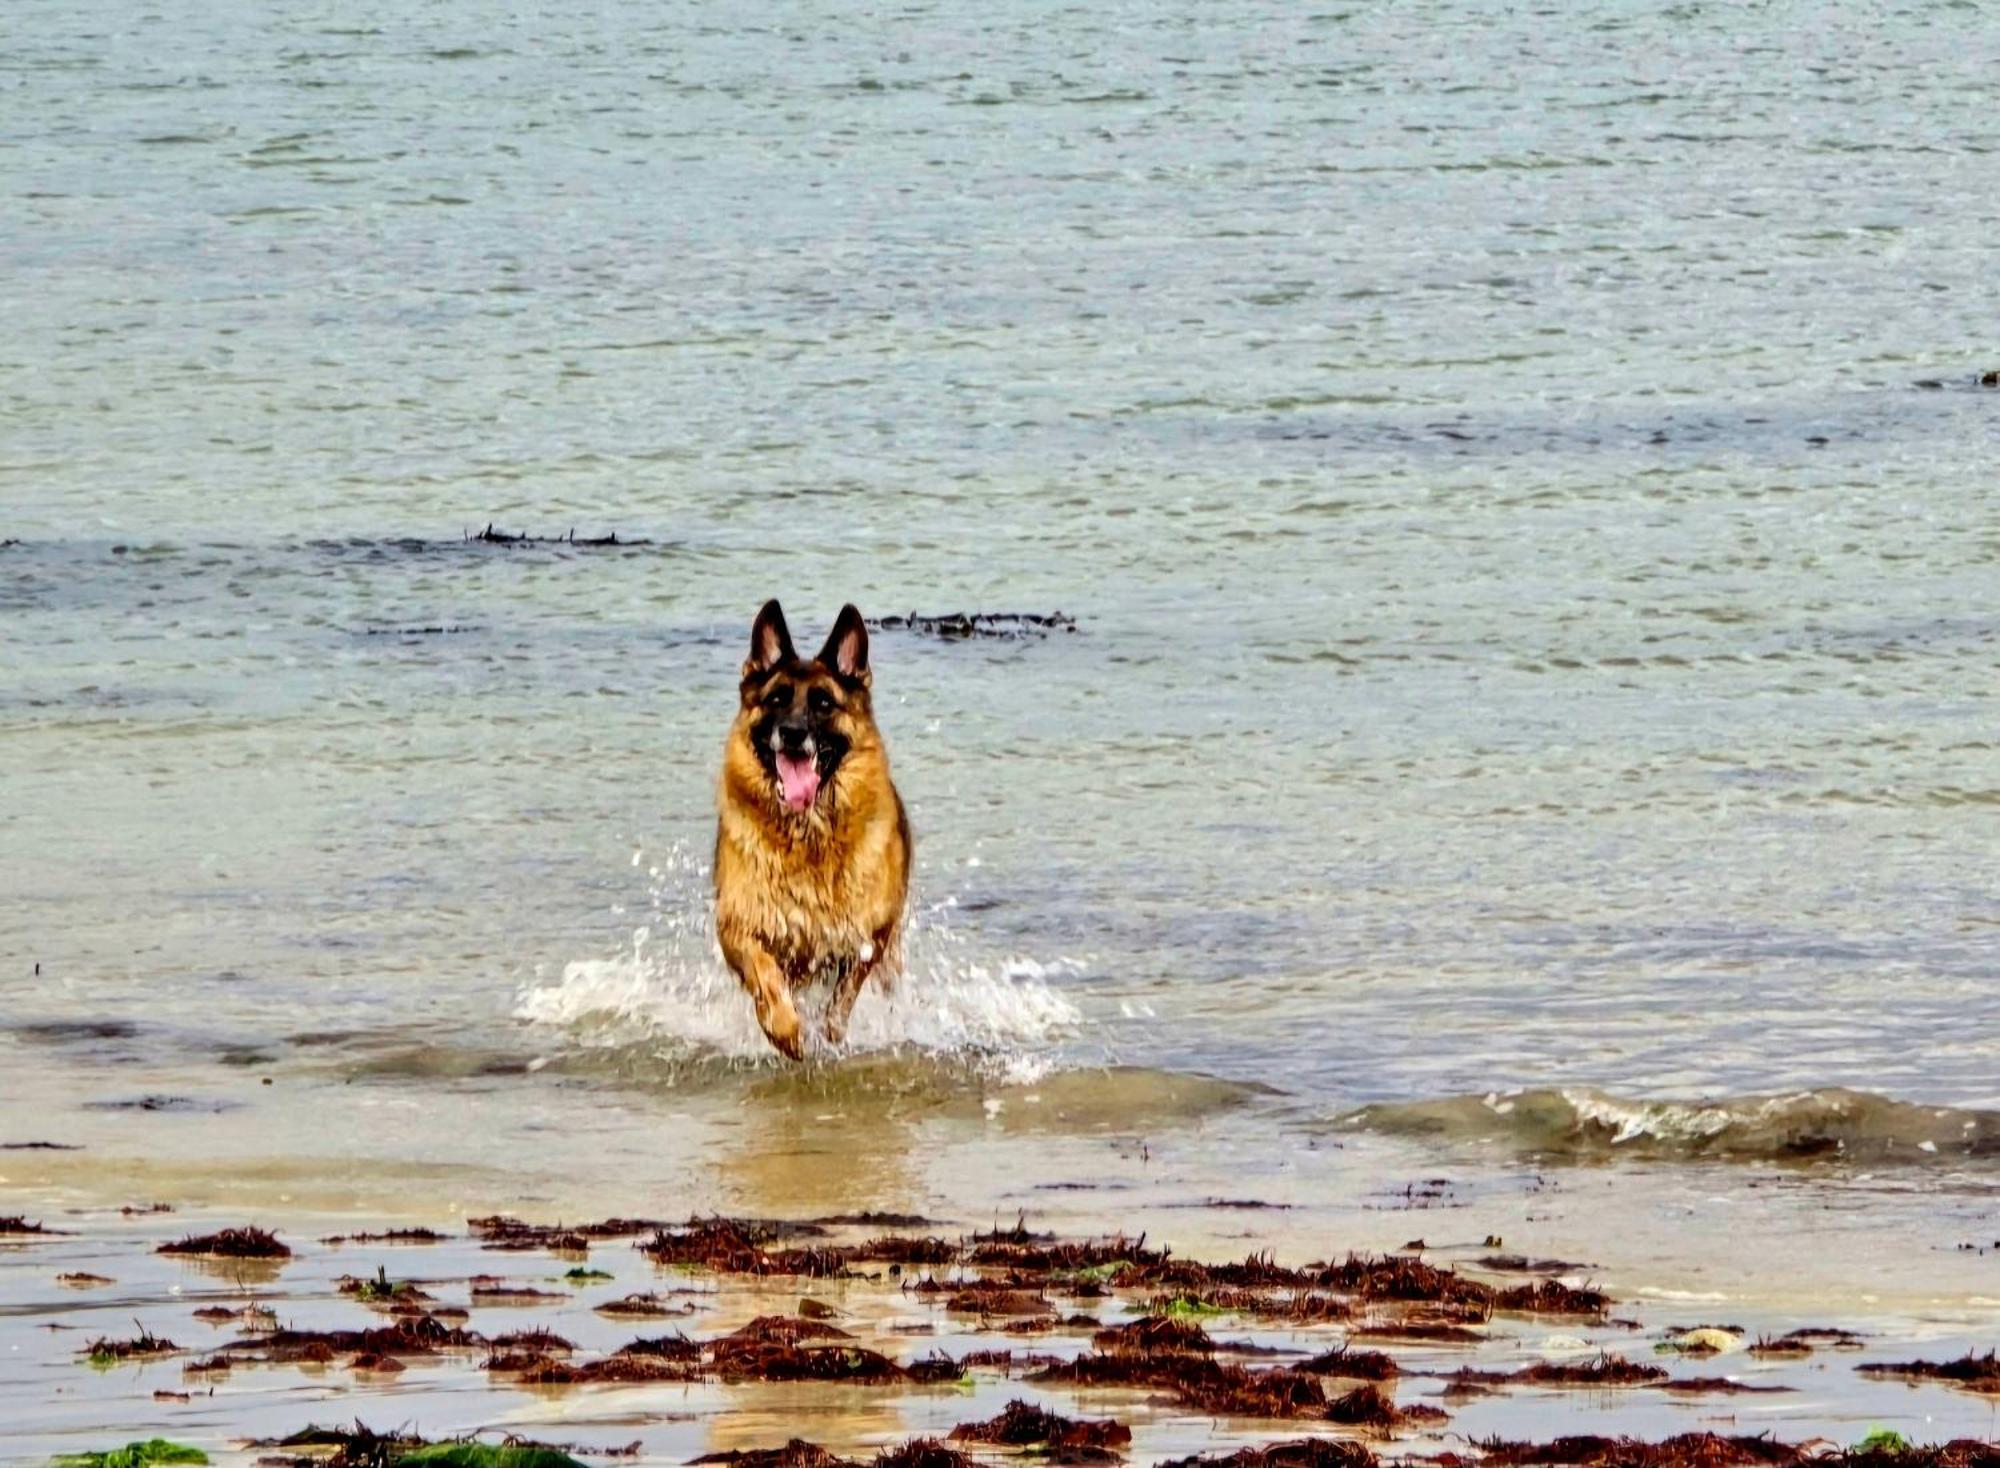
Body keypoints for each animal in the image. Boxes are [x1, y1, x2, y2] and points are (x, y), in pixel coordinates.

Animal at [716, 604, 912, 1064]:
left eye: (823, 703)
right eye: (776, 699)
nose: (791, 733)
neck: (808, 837)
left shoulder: (870, 938)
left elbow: (843, 996)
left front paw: (831, 1033)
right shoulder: (737, 929)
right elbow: (765, 977)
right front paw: (785, 1030)